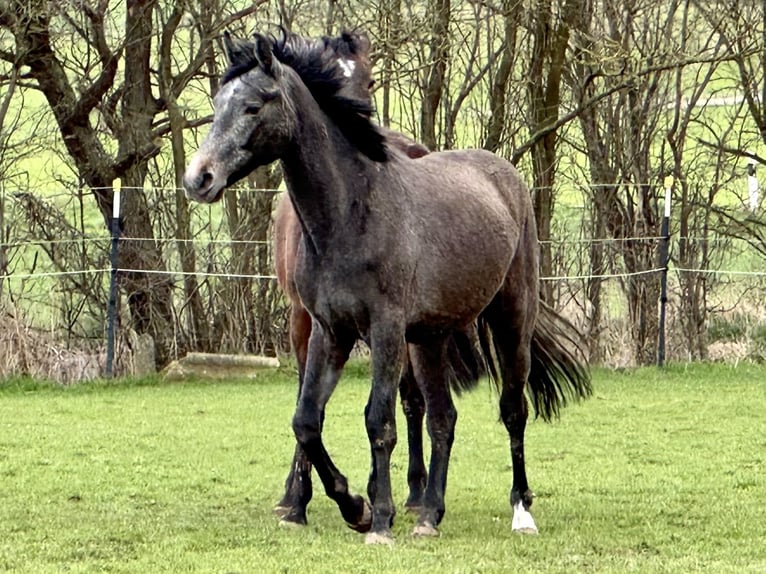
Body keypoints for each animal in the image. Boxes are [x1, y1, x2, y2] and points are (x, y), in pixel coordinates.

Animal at [183, 33, 592, 548]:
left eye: (254, 105)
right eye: (217, 104)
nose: (198, 178)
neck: (352, 214)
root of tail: (507, 176)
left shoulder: (385, 330)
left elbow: (379, 420)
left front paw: (377, 520)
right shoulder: (329, 331)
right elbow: (306, 421)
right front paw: (352, 506)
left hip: (510, 321)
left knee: (513, 410)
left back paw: (520, 512)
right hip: (430, 339)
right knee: (442, 417)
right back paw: (428, 514)